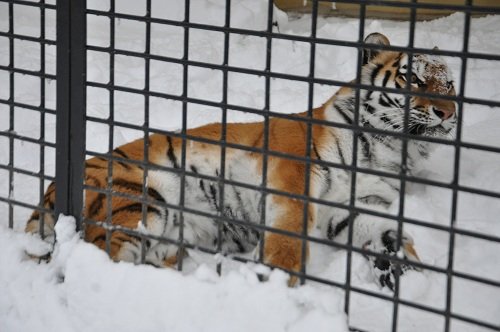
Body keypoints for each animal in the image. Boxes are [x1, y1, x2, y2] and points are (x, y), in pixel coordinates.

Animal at [26, 32, 458, 290]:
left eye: (450, 85)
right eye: (414, 79)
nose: (448, 113)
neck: (384, 151)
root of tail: (45, 195)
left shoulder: (356, 206)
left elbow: (385, 234)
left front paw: (408, 276)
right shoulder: (293, 174)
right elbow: (289, 235)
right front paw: (276, 278)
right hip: (135, 199)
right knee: (104, 259)